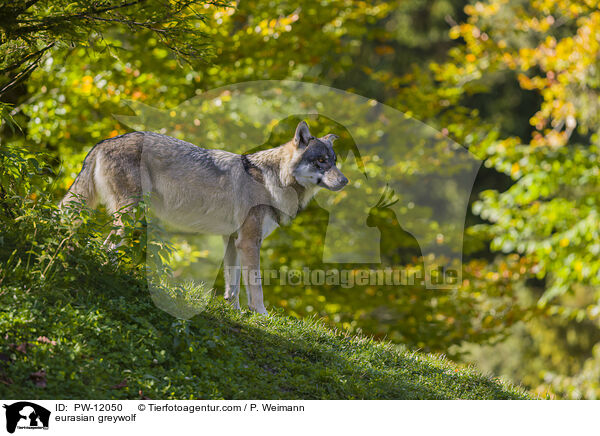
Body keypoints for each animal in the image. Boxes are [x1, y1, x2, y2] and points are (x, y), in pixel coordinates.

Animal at [61, 121, 346, 316]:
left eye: (334, 161)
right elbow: (255, 285)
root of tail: (102, 143)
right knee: (106, 246)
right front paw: (262, 315)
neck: (274, 180)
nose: (345, 181)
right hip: (129, 215)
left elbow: (233, 286)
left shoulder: (233, 241)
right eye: (321, 161)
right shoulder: (249, 242)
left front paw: (236, 313)